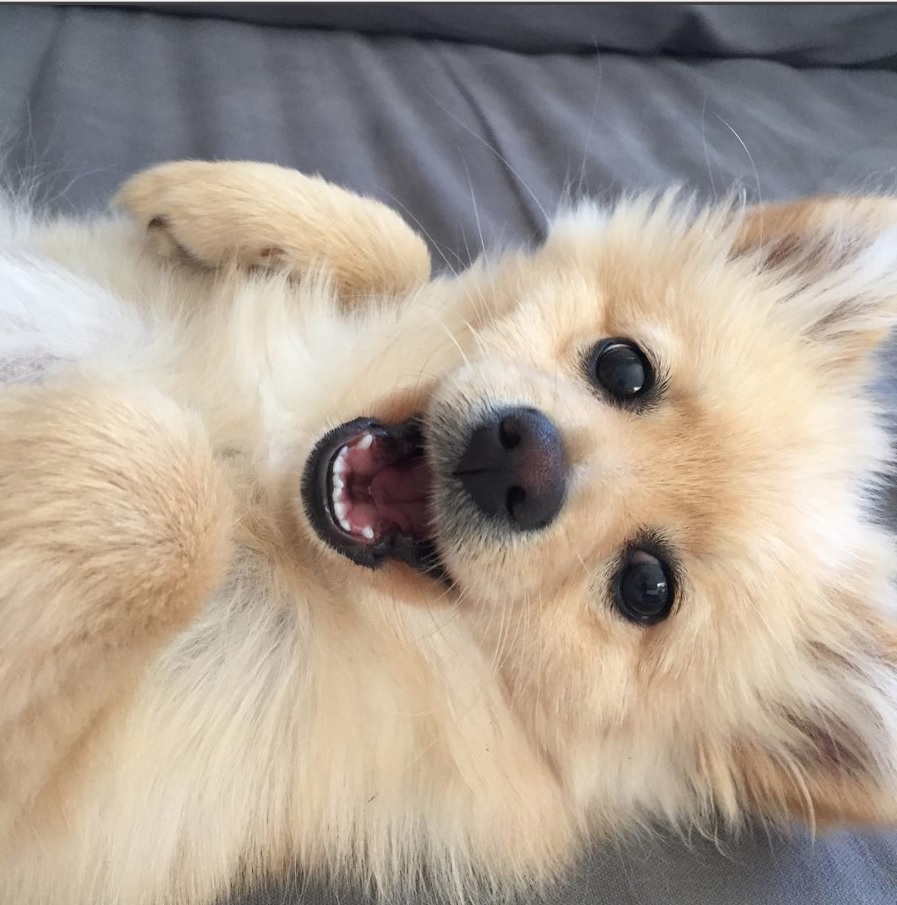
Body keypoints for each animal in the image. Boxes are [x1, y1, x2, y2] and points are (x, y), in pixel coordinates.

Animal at [1, 159, 896, 900]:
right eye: (623, 367)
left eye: (646, 587)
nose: (526, 460)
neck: (264, 468)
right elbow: (407, 250)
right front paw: (202, 196)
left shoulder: (57, 825)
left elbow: (169, 490)